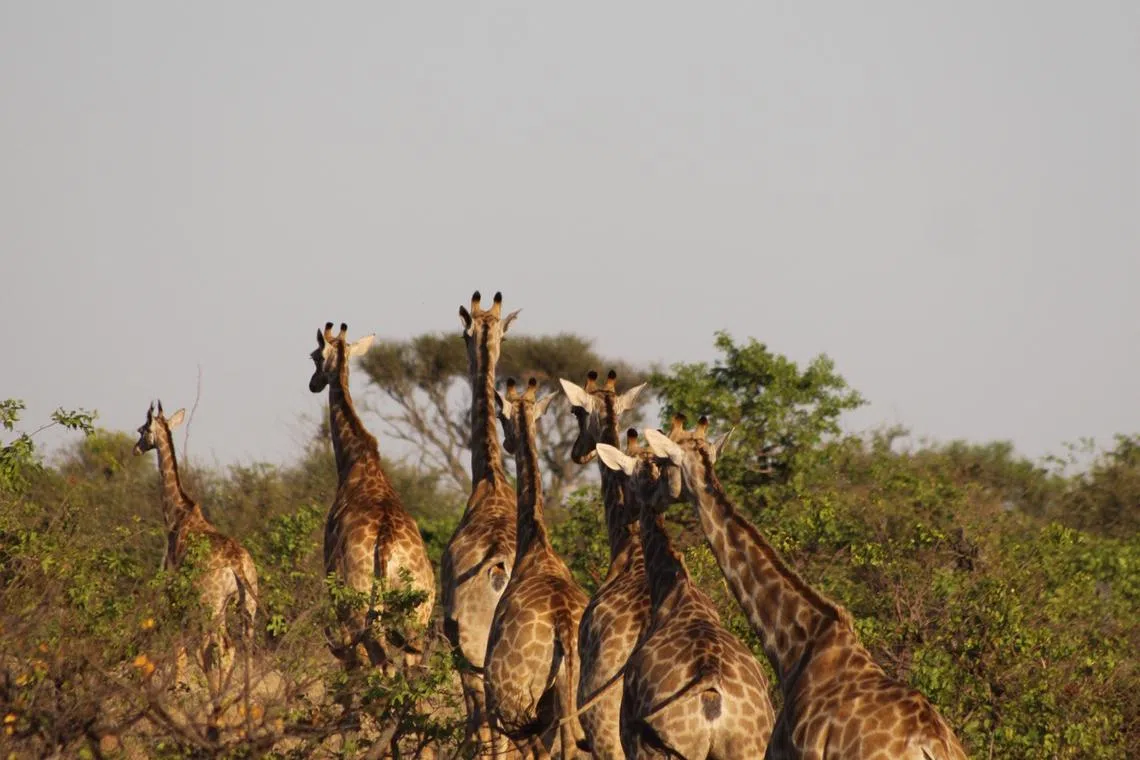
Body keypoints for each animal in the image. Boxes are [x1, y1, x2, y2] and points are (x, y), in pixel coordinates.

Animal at [132, 401, 258, 691]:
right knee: (241, 646)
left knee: (220, 646)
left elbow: (179, 642)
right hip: (247, 604)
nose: (136, 448)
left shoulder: (172, 586)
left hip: (212, 603)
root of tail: (237, 563)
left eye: (142, 429)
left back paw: (218, 694)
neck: (176, 513)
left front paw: (177, 684)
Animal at [308, 321, 435, 672]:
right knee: (410, 668)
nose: (313, 384)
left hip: (360, 607)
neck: (356, 461)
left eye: (314, 356)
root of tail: (388, 547)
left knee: (379, 663)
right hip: (418, 614)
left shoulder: (333, 584)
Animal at [484, 378, 588, 759]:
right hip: (576, 690)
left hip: (512, 697)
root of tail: (564, 624)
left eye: (501, 415)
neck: (535, 546)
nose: (508, 442)